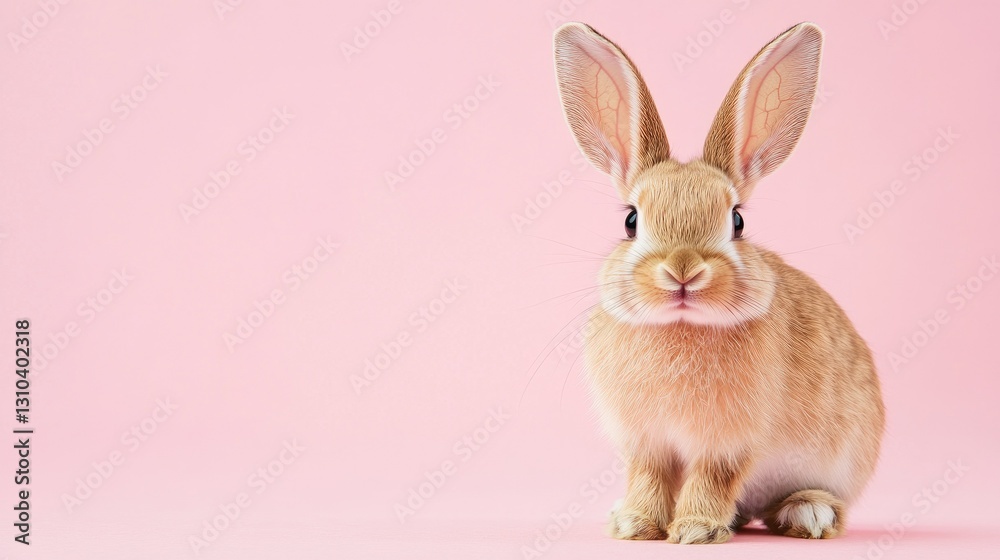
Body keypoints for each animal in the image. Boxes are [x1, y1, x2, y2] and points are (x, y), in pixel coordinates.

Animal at [553, 21, 885, 544]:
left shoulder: (727, 445)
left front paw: (695, 530)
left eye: (738, 221)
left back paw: (807, 513)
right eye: (630, 221)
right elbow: (649, 477)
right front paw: (635, 524)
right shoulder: (647, 444)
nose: (683, 270)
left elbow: (712, 478)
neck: (681, 325)